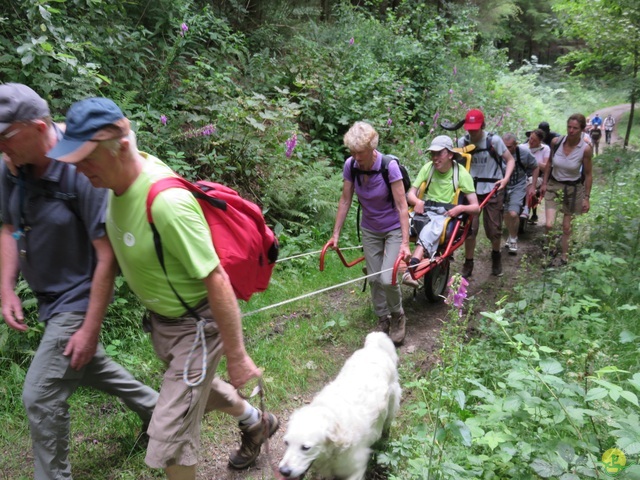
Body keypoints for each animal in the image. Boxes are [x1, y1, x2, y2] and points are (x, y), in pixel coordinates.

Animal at [278, 332, 400, 478]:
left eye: (305, 448)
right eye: (286, 442)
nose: (283, 471)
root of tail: (374, 347)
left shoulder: (356, 469)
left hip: (392, 405)